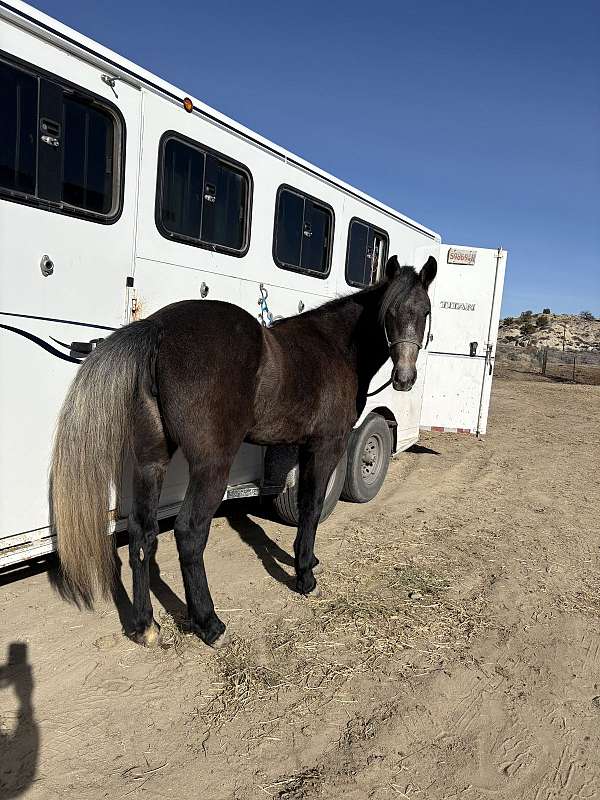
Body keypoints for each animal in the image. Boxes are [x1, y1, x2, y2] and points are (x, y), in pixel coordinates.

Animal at [51, 254, 437, 648]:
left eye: (424, 311)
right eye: (390, 312)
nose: (405, 378)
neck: (334, 347)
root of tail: (158, 328)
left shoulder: (301, 447)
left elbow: (304, 506)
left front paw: (308, 561)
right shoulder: (326, 445)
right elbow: (312, 507)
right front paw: (305, 577)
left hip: (151, 461)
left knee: (143, 535)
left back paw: (146, 626)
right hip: (212, 466)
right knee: (189, 533)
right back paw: (210, 623)